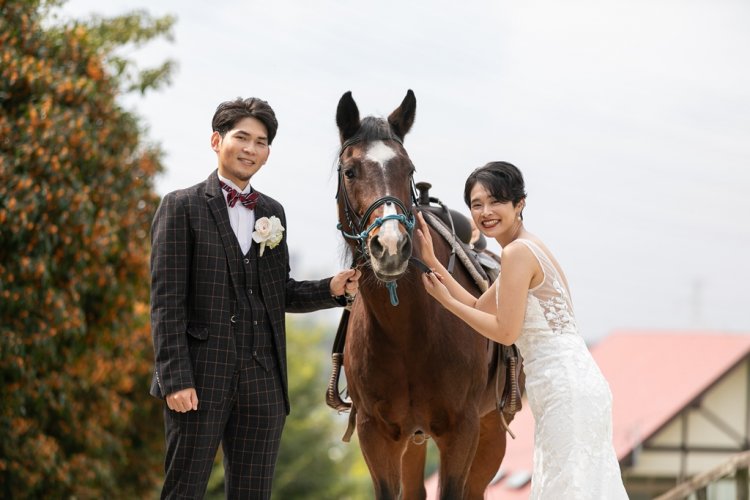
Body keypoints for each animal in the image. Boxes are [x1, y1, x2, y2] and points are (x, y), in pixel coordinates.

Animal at [332, 89, 516, 499]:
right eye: (350, 171)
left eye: (408, 169)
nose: (390, 246)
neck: (406, 331)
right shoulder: (376, 434)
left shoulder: (463, 429)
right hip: (413, 440)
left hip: (490, 432)